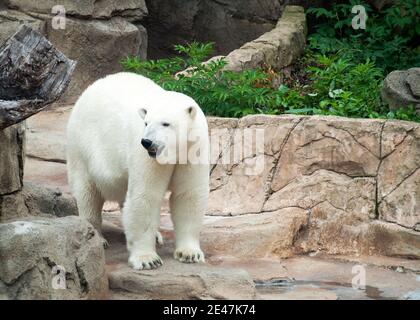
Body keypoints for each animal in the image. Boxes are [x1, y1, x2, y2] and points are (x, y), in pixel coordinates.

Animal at [67, 72, 210, 270]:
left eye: (166, 123)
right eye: (146, 123)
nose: (147, 142)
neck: (174, 152)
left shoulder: (193, 149)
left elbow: (188, 195)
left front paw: (189, 253)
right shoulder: (146, 158)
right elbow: (145, 196)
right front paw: (147, 259)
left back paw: (156, 236)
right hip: (82, 147)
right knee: (88, 193)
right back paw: (95, 237)